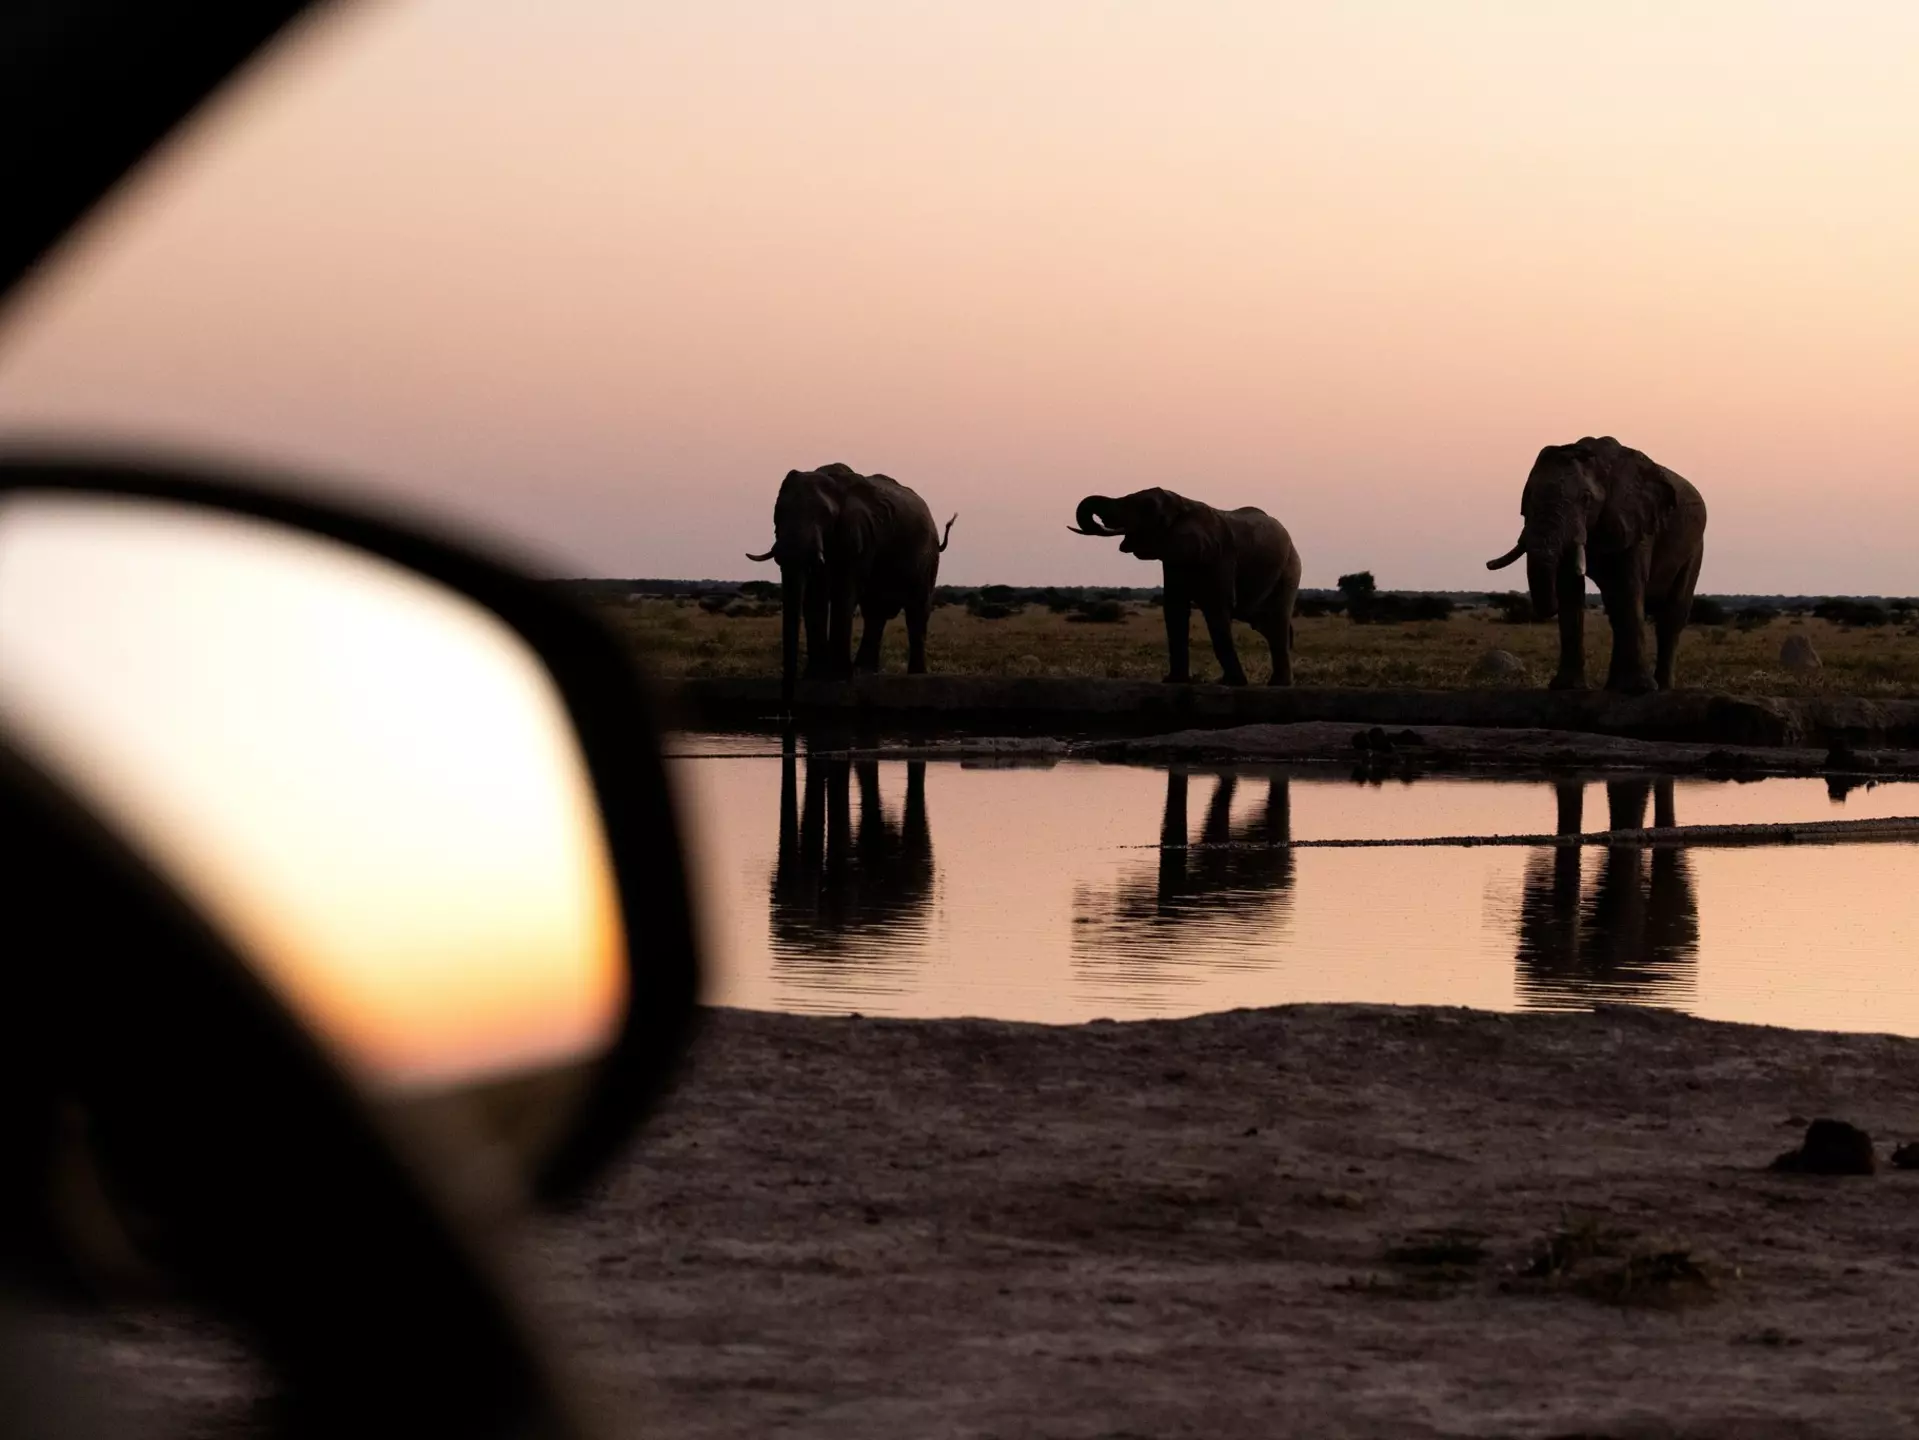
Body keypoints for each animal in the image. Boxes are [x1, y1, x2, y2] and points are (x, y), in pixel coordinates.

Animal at [747, 463, 955, 704]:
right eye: (778, 512)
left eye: (825, 514)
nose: (788, 698)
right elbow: (814, 597)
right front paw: (815, 676)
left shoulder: (859, 535)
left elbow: (843, 592)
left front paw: (837, 677)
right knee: (875, 613)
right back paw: (865, 671)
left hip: (927, 556)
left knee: (916, 611)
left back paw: (914, 675)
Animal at [1070, 489, 1302, 685]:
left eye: (1147, 507)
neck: (1183, 503)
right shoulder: (1173, 557)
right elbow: (1175, 608)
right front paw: (1174, 681)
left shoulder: (1220, 555)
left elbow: (1216, 607)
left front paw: (1233, 683)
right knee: (1267, 625)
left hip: (1290, 570)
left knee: (1277, 621)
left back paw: (1278, 684)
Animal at [1486, 436, 1708, 693]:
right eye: (1528, 497)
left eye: (1586, 499)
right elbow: (1569, 587)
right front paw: (1566, 687)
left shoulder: (1635, 521)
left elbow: (1628, 585)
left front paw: (1638, 689)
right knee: (1616, 611)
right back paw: (1614, 687)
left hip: (1695, 547)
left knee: (1671, 615)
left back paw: (1661, 688)